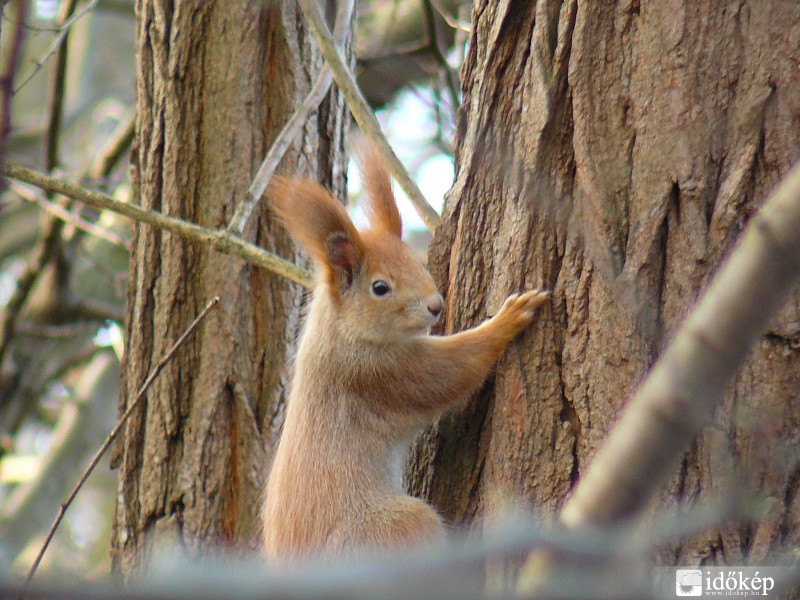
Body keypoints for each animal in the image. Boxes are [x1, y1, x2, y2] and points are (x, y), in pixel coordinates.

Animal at [262, 150, 552, 564]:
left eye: (419, 261)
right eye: (380, 287)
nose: (436, 306)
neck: (339, 331)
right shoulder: (379, 372)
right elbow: (450, 373)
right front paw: (507, 320)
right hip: (395, 528)